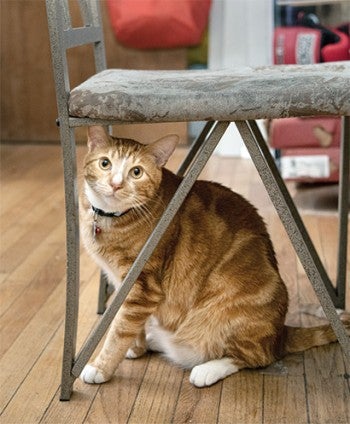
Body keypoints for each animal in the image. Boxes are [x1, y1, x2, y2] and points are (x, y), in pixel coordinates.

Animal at [80, 126, 348, 388]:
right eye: (105, 164)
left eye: (136, 172)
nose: (115, 184)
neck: (111, 219)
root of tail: (280, 333)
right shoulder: (123, 283)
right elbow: (127, 323)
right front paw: (137, 348)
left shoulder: (143, 286)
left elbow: (119, 330)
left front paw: (101, 368)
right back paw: (157, 340)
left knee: (255, 357)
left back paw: (207, 369)